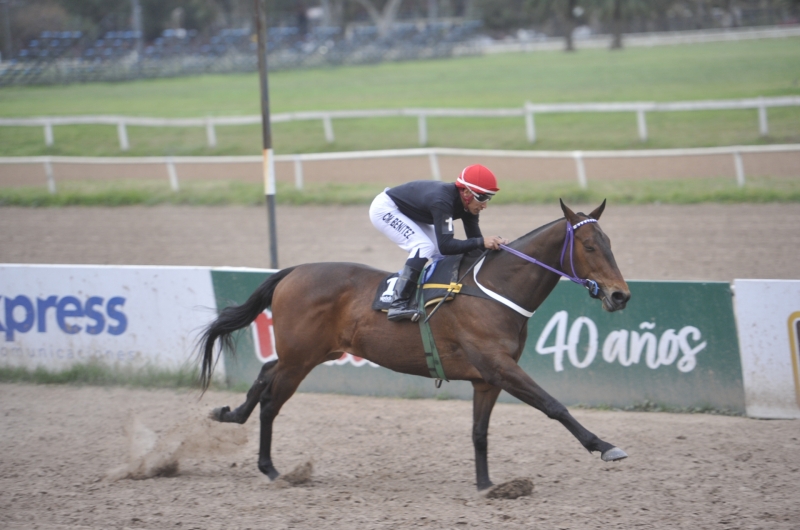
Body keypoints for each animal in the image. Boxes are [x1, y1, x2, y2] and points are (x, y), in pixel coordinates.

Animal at [198, 200, 632, 488]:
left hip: (310, 353)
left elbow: (479, 431)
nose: (621, 295)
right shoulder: (500, 366)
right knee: (272, 399)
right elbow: (554, 405)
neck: (493, 291)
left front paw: (487, 485)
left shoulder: (487, 378)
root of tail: (292, 271)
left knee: (264, 373)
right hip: (300, 358)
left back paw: (229, 414)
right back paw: (271, 468)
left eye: (611, 242)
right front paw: (605, 445)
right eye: (589, 246)